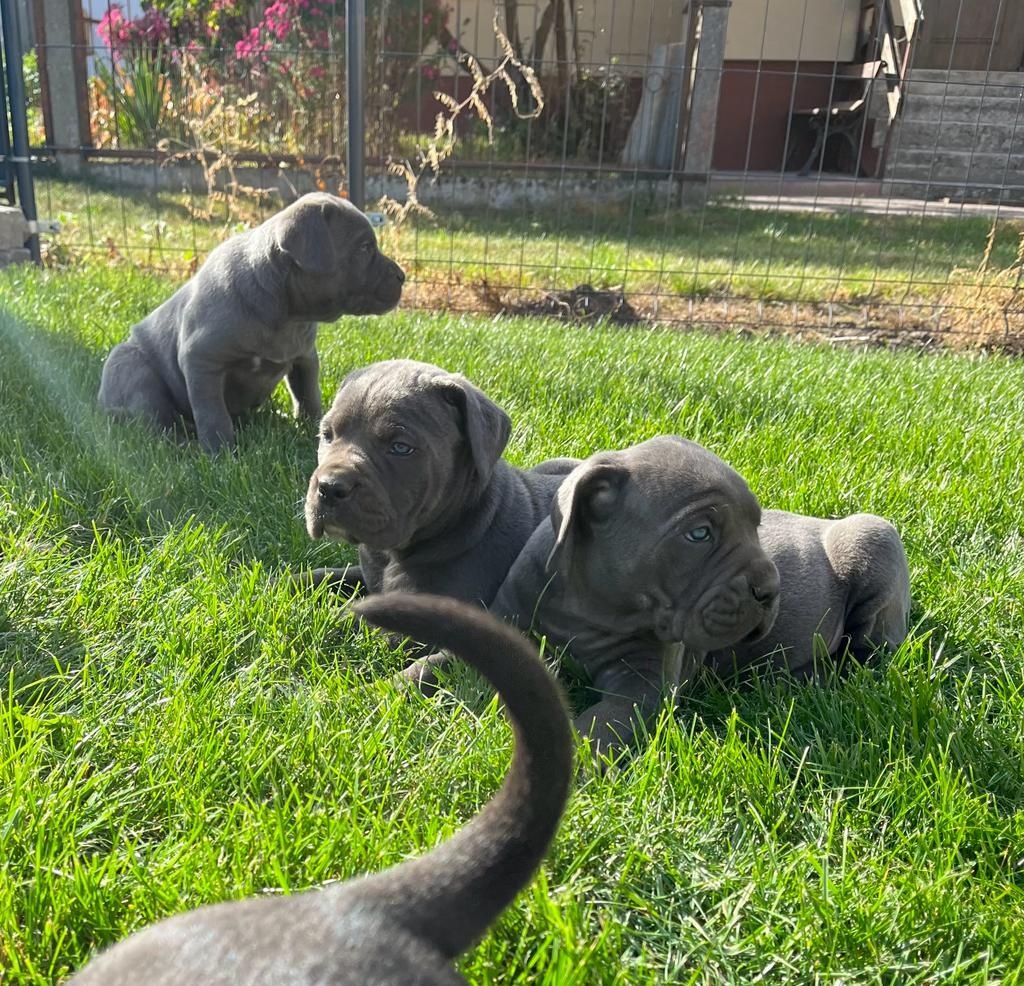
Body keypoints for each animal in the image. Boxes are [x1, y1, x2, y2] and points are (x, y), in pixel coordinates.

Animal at [97, 190, 403, 452]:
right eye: (364, 248)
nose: (402, 276)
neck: (288, 315)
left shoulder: (304, 357)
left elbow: (308, 396)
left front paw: (313, 431)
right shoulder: (201, 361)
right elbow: (212, 412)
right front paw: (221, 453)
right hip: (132, 366)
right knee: (155, 420)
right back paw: (182, 444)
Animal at [299, 358, 581, 610]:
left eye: (400, 447)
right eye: (326, 435)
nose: (329, 487)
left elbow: (347, 615)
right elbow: (327, 573)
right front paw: (288, 582)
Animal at [483, 438, 778, 757]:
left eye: (756, 526)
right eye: (699, 533)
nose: (771, 589)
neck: (591, 607)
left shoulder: (642, 685)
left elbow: (600, 724)